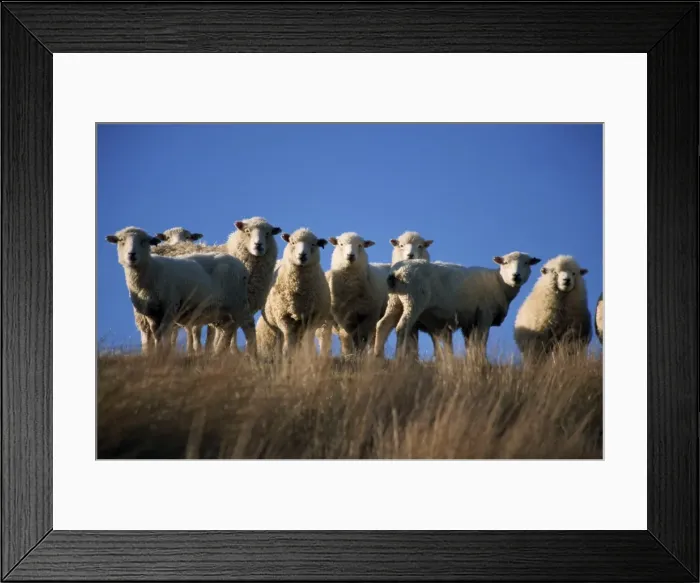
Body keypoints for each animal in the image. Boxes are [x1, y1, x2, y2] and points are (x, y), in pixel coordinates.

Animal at [106, 227, 255, 355]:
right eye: (121, 240)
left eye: (144, 241)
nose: (131, 255)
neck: (151, 270)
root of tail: (240, 265)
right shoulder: (151, 313)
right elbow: (156, 334)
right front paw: (158, 355)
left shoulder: (170, 307)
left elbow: (165, 333)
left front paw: (166, 354)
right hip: (219, 309)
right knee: (229, 327)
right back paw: (218, 353)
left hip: (238, 302)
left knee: (248, 327)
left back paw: (252, 355)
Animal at [258, 228, 331, 357]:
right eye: (292, 242)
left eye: (313, 244)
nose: (302, 255)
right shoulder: (284, 317)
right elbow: (288, 341)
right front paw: (288, 356)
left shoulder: (312, 317)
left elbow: (308, 340)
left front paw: (308, 356)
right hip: (275, 324)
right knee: (281, 339)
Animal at [374, 252, 541, 359]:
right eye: (505, 263)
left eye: (526, 263)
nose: (516, 276)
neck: (499, 282)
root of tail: (396, 271)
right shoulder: (485, 314)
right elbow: (482, 341)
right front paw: (481, 361)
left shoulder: (469, 322)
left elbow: (471, 344)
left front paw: (472, 361)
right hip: (414, 300)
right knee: (402, 327)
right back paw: (398, 358)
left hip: (396, 300)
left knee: (383, 325)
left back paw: (377, 356)